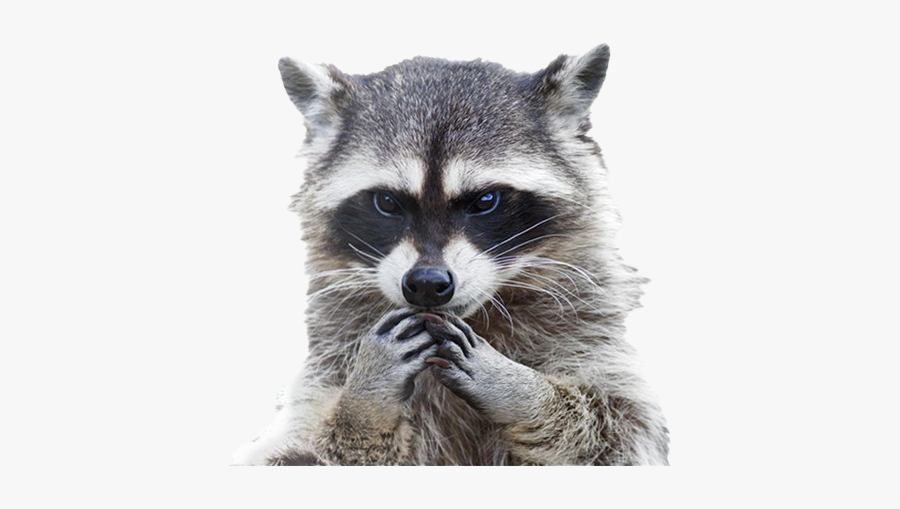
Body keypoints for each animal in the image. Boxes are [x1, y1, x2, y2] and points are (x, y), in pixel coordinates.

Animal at [232, 45, 669, 465]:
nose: (427, 284)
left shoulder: (588, 325)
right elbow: (301, 451)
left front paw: (522, 391)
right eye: (386, 202)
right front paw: (363, 404)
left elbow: (618, 428)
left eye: (486, 201)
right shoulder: (330, 356)